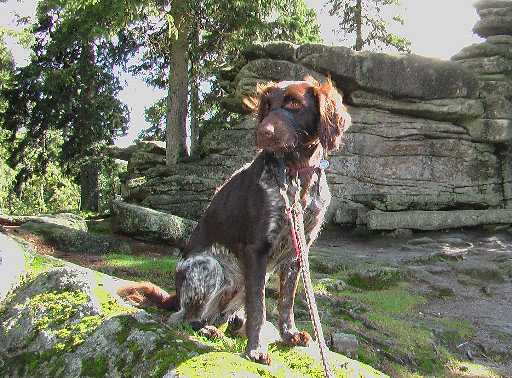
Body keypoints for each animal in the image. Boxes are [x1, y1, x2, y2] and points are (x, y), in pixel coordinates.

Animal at [118, 76, 350, 364]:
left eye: (294, 104)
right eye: (267, 106)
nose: (263, 132)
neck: (296, 174)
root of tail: (175, 297)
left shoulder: (298, 251)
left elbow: (286, 301)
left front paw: (289, 335)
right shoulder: (256, 249)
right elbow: (259, 307)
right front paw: (255, 349)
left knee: (221, 316)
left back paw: (229, 325)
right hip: (209, 268)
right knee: (181, 317)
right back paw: (206, 328)